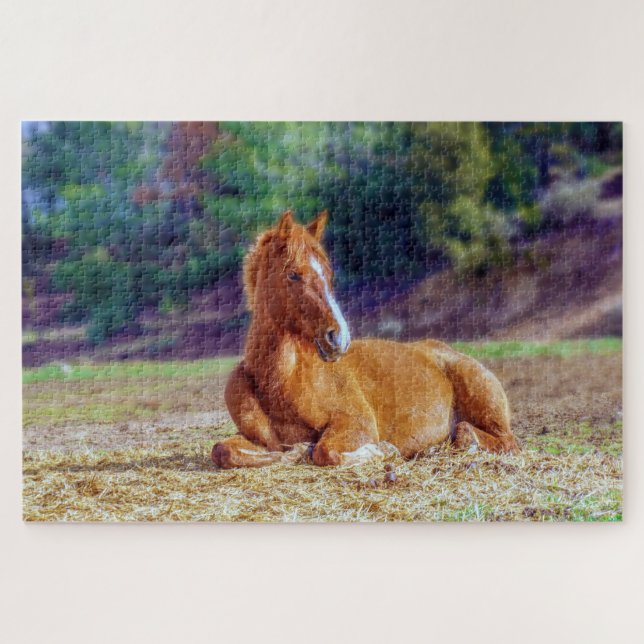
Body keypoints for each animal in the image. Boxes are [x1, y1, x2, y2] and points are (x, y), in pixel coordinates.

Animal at [211, 210, 519, 468]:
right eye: (293, 274)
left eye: (328, 273)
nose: (339, 337)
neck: (282, 383)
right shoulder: (257, 438)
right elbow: (223, 450)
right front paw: (295, 451)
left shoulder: (355, 423)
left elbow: (325, 452)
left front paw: (383, 451)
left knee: (495, 439)